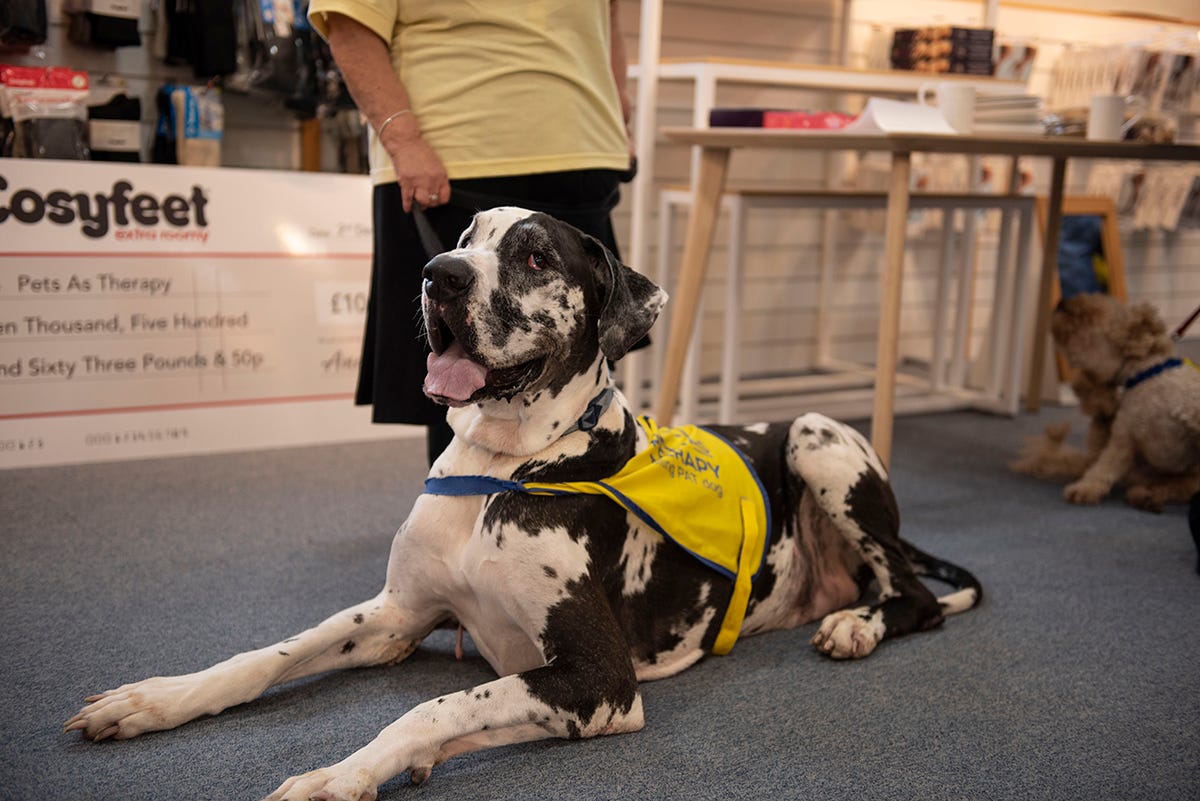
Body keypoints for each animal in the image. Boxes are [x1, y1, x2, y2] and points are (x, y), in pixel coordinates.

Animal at [65, 208, 979, 801]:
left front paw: (344, 772)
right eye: (465, 240)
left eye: (536, 257)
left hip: (819, 437)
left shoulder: (601, 679)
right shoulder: (398, 616)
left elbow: (434, 704)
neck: (505, 465)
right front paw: (153, 700)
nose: (438, 274)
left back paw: (859, 624)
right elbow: (267, 654)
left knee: (916, 595)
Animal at [1051, 293, 1200, 513]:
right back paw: (1146, 497)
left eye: (1093, 316)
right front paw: (1084, 489)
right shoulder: (1124, 437)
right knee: (1169, 487)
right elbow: (1103, 468)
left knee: (1181, 488)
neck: (1147, 376)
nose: (1061, 303)